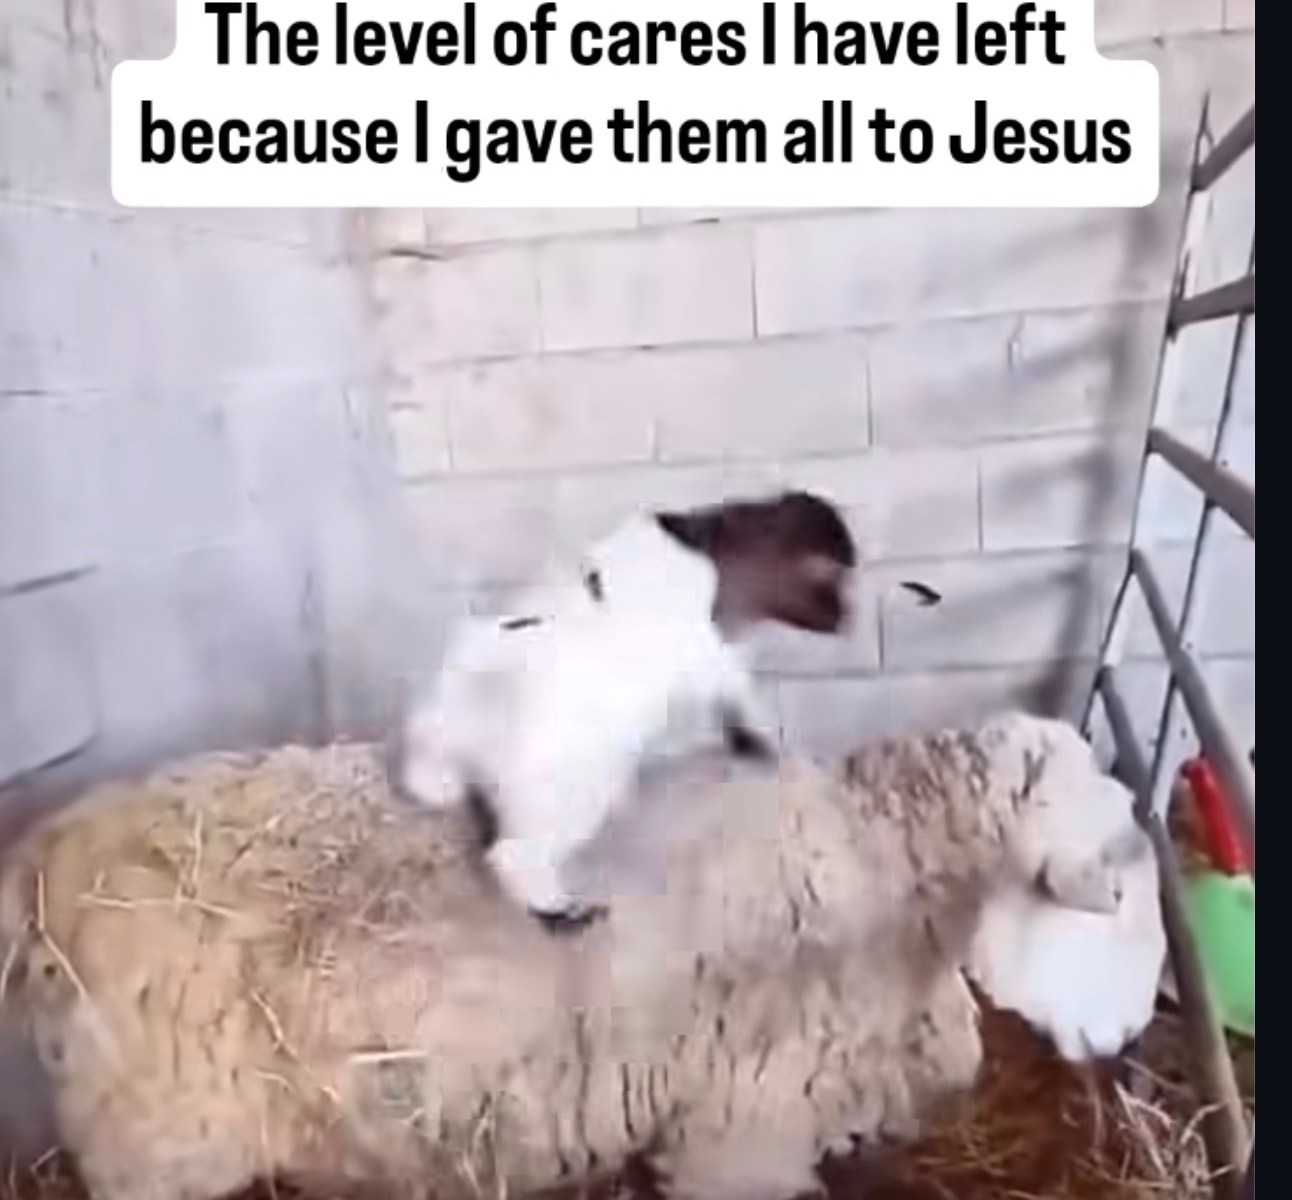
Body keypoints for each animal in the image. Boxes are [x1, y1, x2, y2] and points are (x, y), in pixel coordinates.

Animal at [394, 490, 857, 923]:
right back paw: (562, 910)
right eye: (836, 576)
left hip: (452, 758)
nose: (847, 622)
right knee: (516, 854)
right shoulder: (707, 654)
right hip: (567, 792)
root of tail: (477, 689)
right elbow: (740, 693)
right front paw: (763, 741)